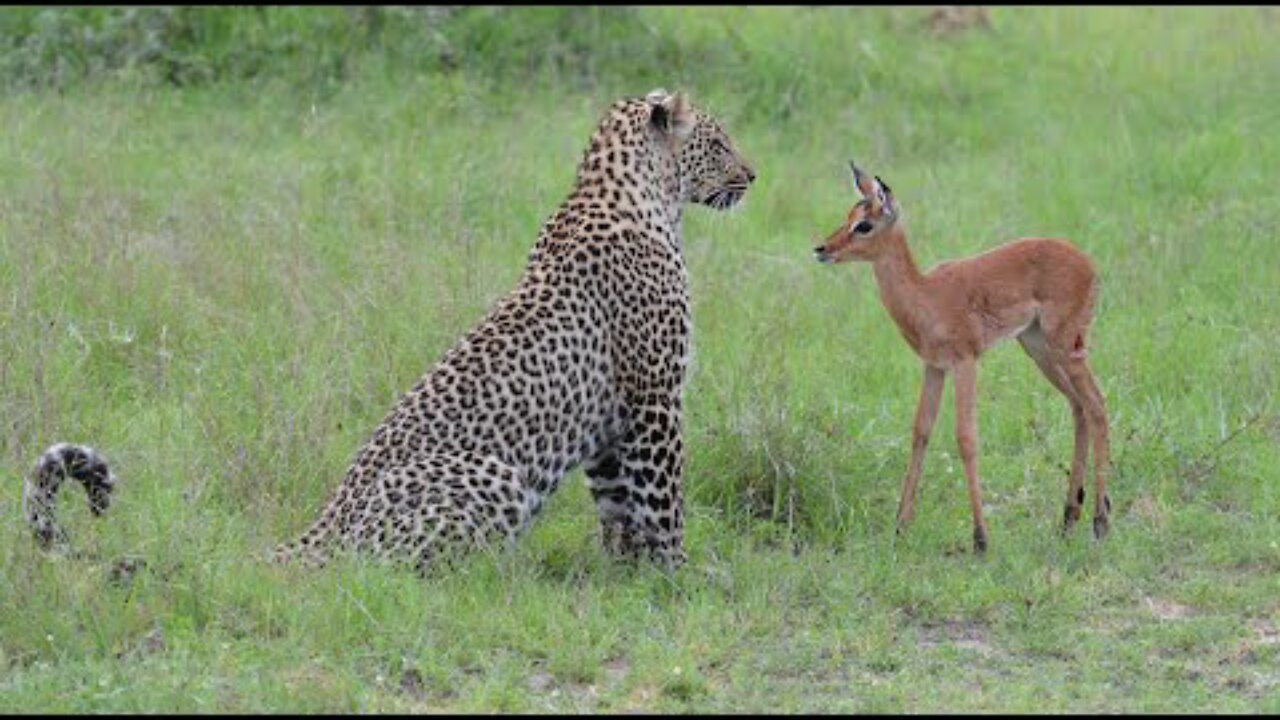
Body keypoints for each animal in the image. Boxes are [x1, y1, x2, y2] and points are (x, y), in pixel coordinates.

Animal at [819, 162, 1111, 550]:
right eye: (848, 215)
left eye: (864, 224)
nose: (821, 249)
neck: (926, 295)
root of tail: (1087, 262)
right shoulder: (933, 366)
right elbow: (920, 432)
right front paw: (900, 526)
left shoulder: (965, 362)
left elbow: (966, 438)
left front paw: (980, 538)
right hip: (1039, 349)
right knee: (1079, 407)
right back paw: (1067, 519)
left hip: (1066, 347)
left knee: (1096, 405)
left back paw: (1100, 521)